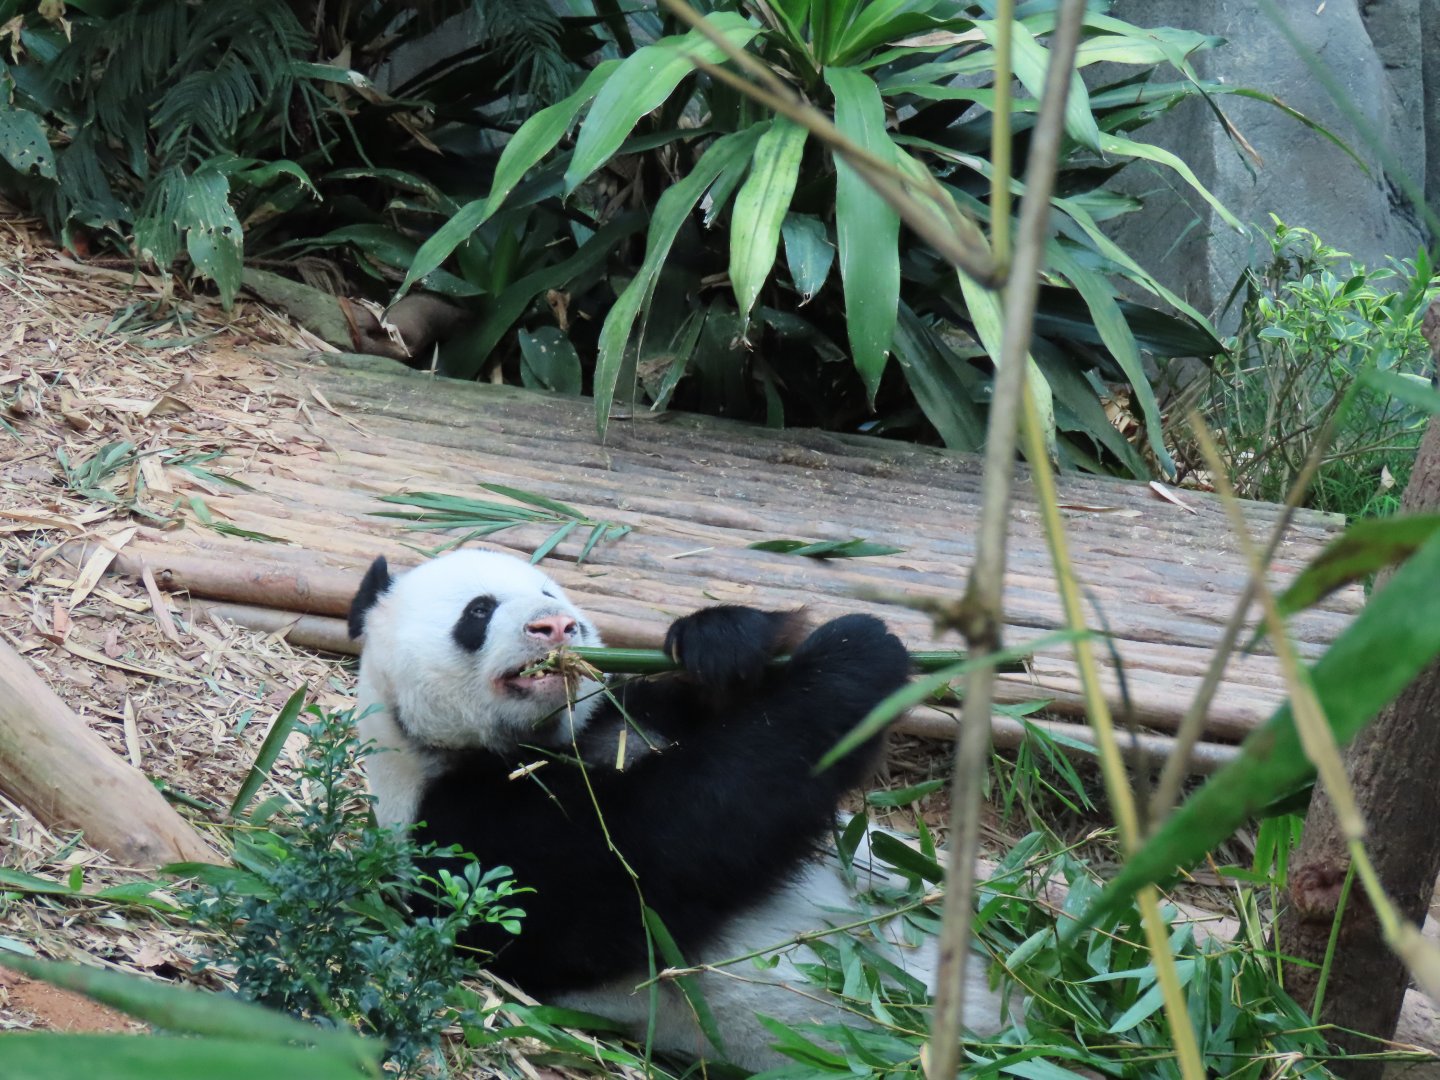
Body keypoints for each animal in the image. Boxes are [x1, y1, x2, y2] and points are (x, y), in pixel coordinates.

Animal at [347, 548, 1009, 1069]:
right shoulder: (465, 844)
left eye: (550, 591)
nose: (556, 625)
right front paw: (856, 656)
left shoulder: (618, 722)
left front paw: (723, 638)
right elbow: (672, 837)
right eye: (478, 611)